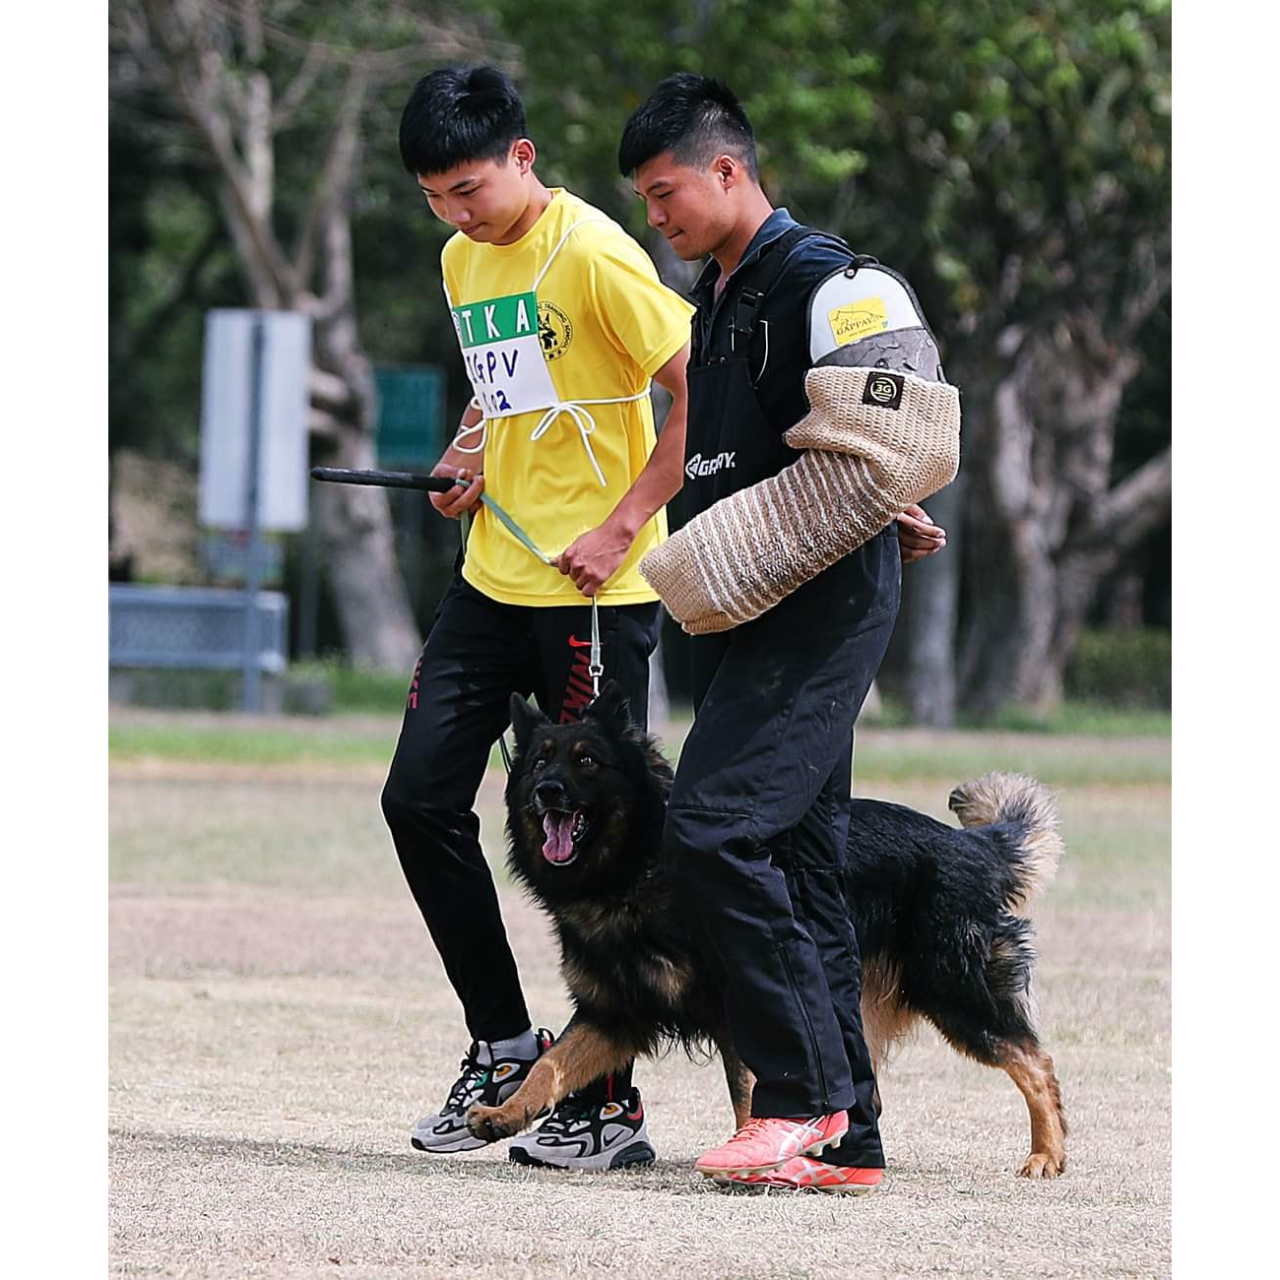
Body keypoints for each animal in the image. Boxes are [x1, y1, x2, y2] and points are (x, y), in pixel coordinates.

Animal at [471, 680, 1070, 1177]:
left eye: (587, 761)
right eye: (539, 762)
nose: (548, 791)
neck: (636, 867)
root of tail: (974, 845)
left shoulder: (742, 1006)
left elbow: (750, 1088)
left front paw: (749, 1151)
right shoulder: (612, 1013)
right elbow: (550, 1063)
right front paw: (505, 1113)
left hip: (954, 993)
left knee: (1035, 1061)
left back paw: (1046, 1154)